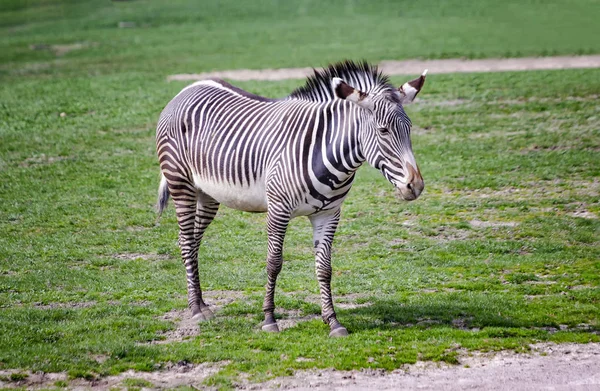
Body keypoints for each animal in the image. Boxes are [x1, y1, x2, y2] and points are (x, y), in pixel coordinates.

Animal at [155, 60, 426, 336]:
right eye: (383, 130)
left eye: (409, 129)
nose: (415, 186)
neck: (328, 154)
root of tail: (188, 88)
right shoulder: (278, 210)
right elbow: (274, 263)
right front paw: (269, 319)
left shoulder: (328, 214)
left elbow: (324, 268)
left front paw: (333, 321)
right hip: (181, 183)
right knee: (186, 241)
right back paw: (195, 309)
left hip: (207, 194)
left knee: (194, 242)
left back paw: (202, 304)